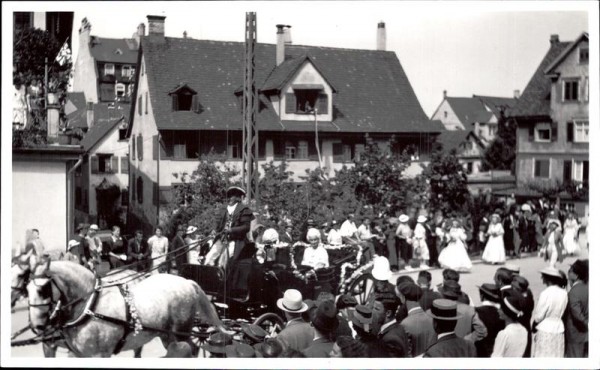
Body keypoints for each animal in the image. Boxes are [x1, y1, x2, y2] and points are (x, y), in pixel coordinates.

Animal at [25, 254, 227, 356]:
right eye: (26, 289)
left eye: (43, 289)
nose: (37, 326)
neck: (90, 306)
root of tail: (187, 282)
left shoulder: (99, 355)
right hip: (167, 335)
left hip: (181, 332)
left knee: (189, 348)